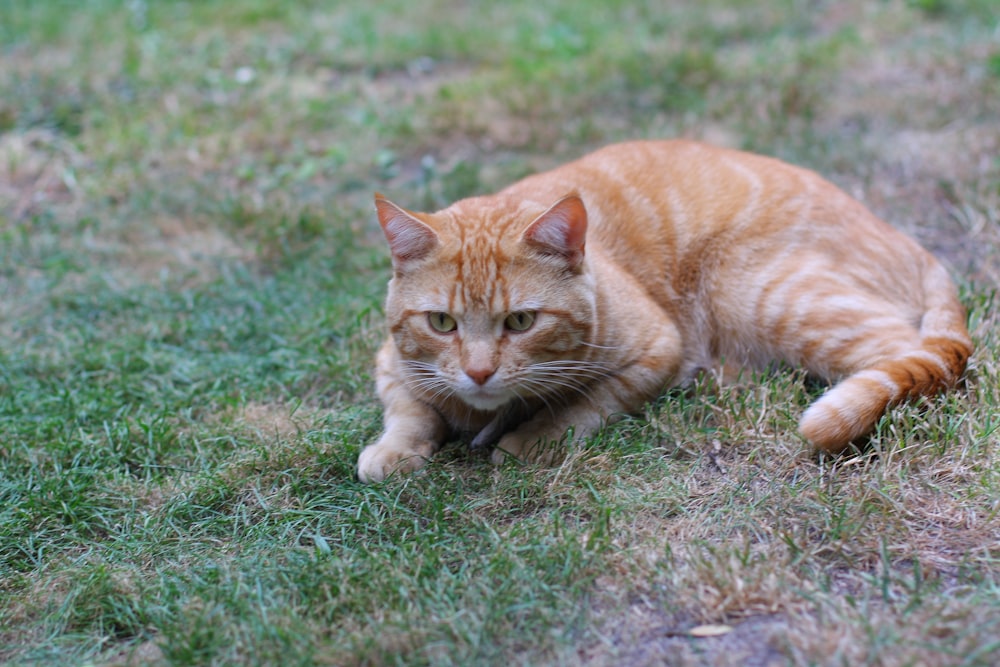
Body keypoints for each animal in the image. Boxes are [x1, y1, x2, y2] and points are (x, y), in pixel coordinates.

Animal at [356, 142, 972, 486]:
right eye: (441, 323)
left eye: (521, 322)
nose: (479, 372)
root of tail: (911, 244)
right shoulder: (391, 363)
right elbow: (411, 410)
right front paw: (395, 450)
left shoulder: (658, 351)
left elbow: (579, 406)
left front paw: (531, 438)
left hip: (767, 294)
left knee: (919, 361)